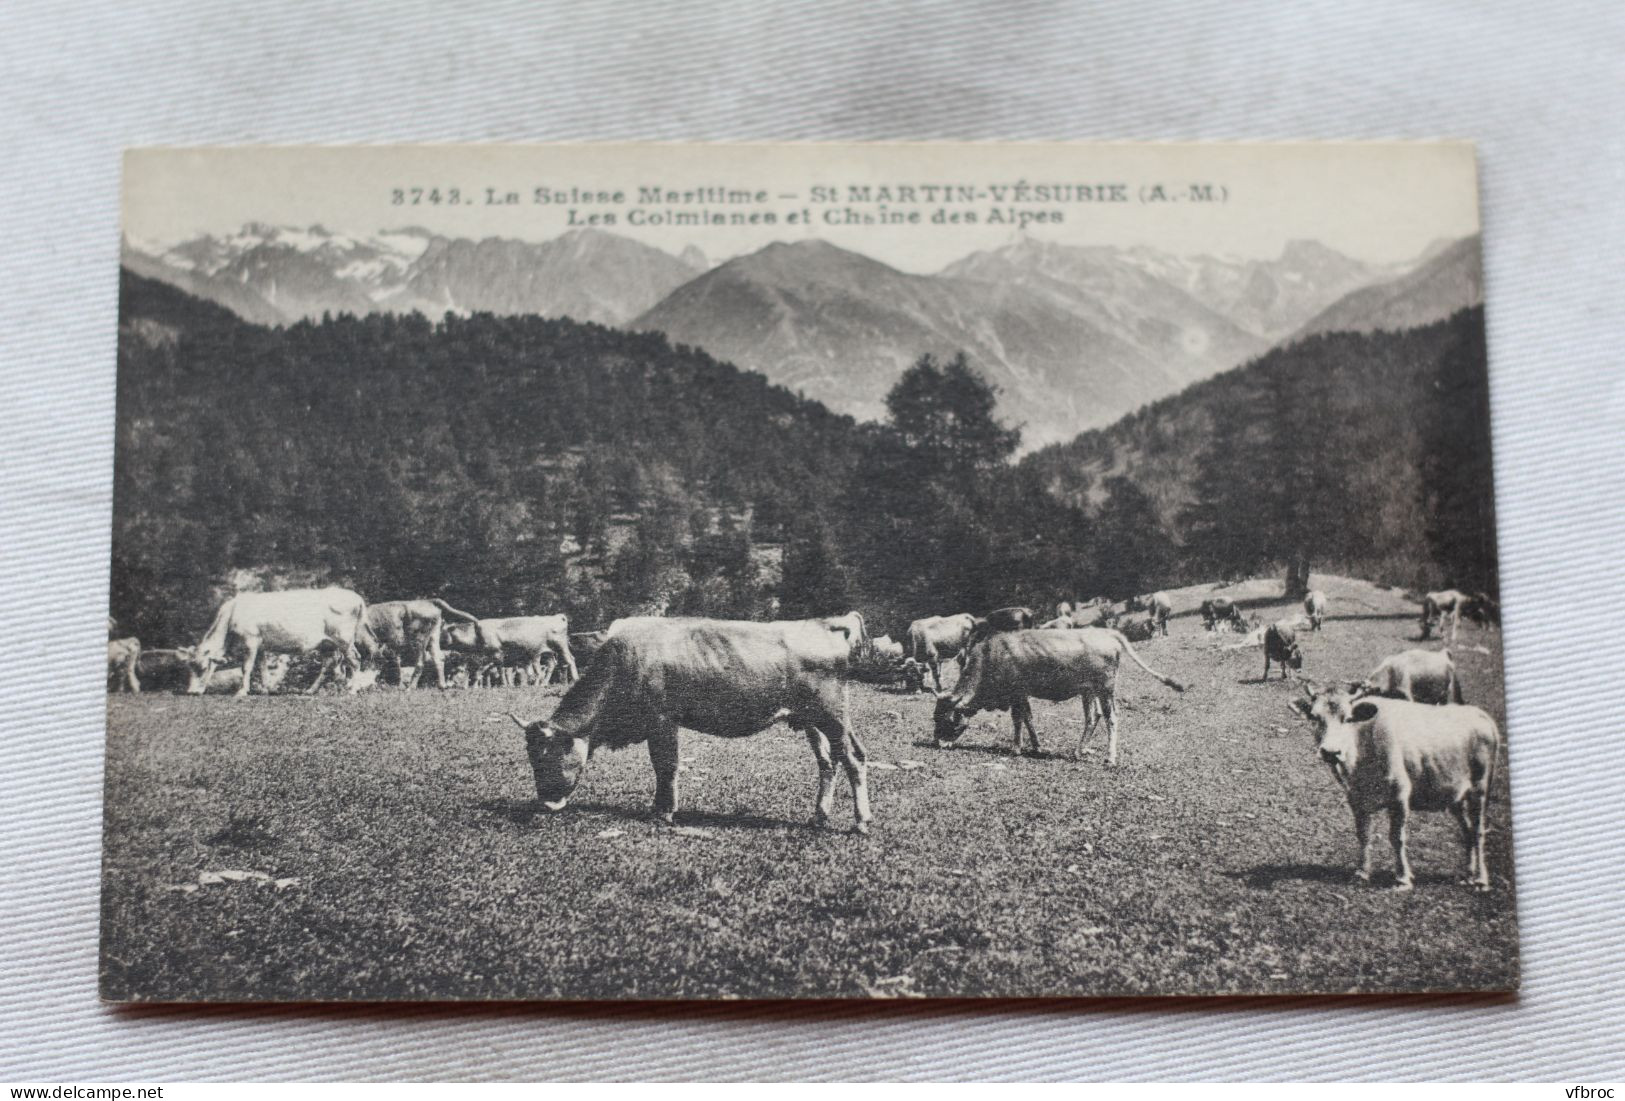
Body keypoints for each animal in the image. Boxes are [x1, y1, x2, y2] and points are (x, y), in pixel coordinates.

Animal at [184, 587, 368, 698]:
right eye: (189, 667)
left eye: (202, 668)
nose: (191, 692)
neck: (233, 612)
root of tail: (356, 597)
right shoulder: (261, 644)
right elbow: (262, 666)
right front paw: (266, 689)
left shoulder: (250, 639)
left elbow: (247, 667)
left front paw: (242, 691)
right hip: (327, 642)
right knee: (331, 662)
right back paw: (313, 689)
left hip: (344, 638)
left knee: (355, 659)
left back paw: (352, 689)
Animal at [442, 613, 581, 688]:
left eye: (443, 631)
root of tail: (557, 616)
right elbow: (482, 672)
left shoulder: (496, 654)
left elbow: (498, 670)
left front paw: (504, 685)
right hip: (547, 651)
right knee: (552, 664)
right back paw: (543, 684)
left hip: (560, 645)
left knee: (570, 659)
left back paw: (575, 679)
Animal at [507, 620, 871, 837]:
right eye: (531, 757)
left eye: (547, 756)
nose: (546, 803)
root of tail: (823, 624)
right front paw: (660, 808)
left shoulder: (662, 720)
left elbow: (665, 766)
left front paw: (665, 811)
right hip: (812, 721)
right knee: (829, 762)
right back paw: (819, 816)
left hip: (832, 715)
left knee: (853, 759)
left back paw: (861, 821)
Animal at [936, 630, 1189, 766]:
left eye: (947, 719)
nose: (940, 743)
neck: (991, 656)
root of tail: (1107, 632)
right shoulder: (1023, 694)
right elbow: (1028, 718)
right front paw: (1037, 747)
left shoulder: (1016, 692)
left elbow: (1018, 720)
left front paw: (1016, 748)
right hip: (1088, 691)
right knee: (1093, 717)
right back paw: (1079, 751)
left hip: (1106, 688)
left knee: (1111, 718)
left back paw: (1110, 757)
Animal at [1287, 685, 1501, 889]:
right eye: (1314, 717)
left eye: (1348, 718)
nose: (1331, 752)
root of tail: (1480, 715)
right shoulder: (1355, 798)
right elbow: (1364, 835)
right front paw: (1361, 873)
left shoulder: (1399, 795)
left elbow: (1397, 837)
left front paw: (1402, 878)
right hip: (1454, 795)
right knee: (1467, 830)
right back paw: (1467, 874)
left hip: (1480, 788)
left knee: (1478, 831)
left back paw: (1481, 879)